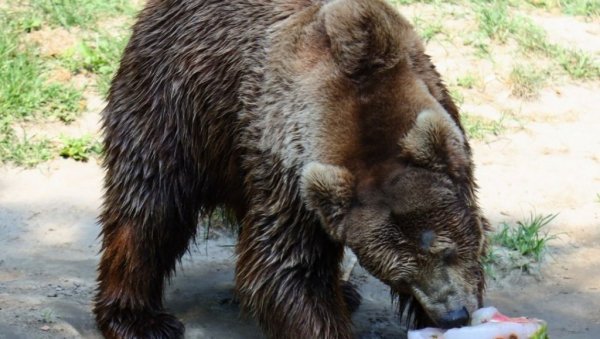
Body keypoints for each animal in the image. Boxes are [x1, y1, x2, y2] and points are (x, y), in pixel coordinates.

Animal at [92, 0, 488, 338]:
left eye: (448, 251)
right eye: (400, 276)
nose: (452, 316)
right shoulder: (287, 171)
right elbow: (288, 268)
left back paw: (345, 292)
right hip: (175, 103)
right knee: (150, 207)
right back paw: (138, 319)